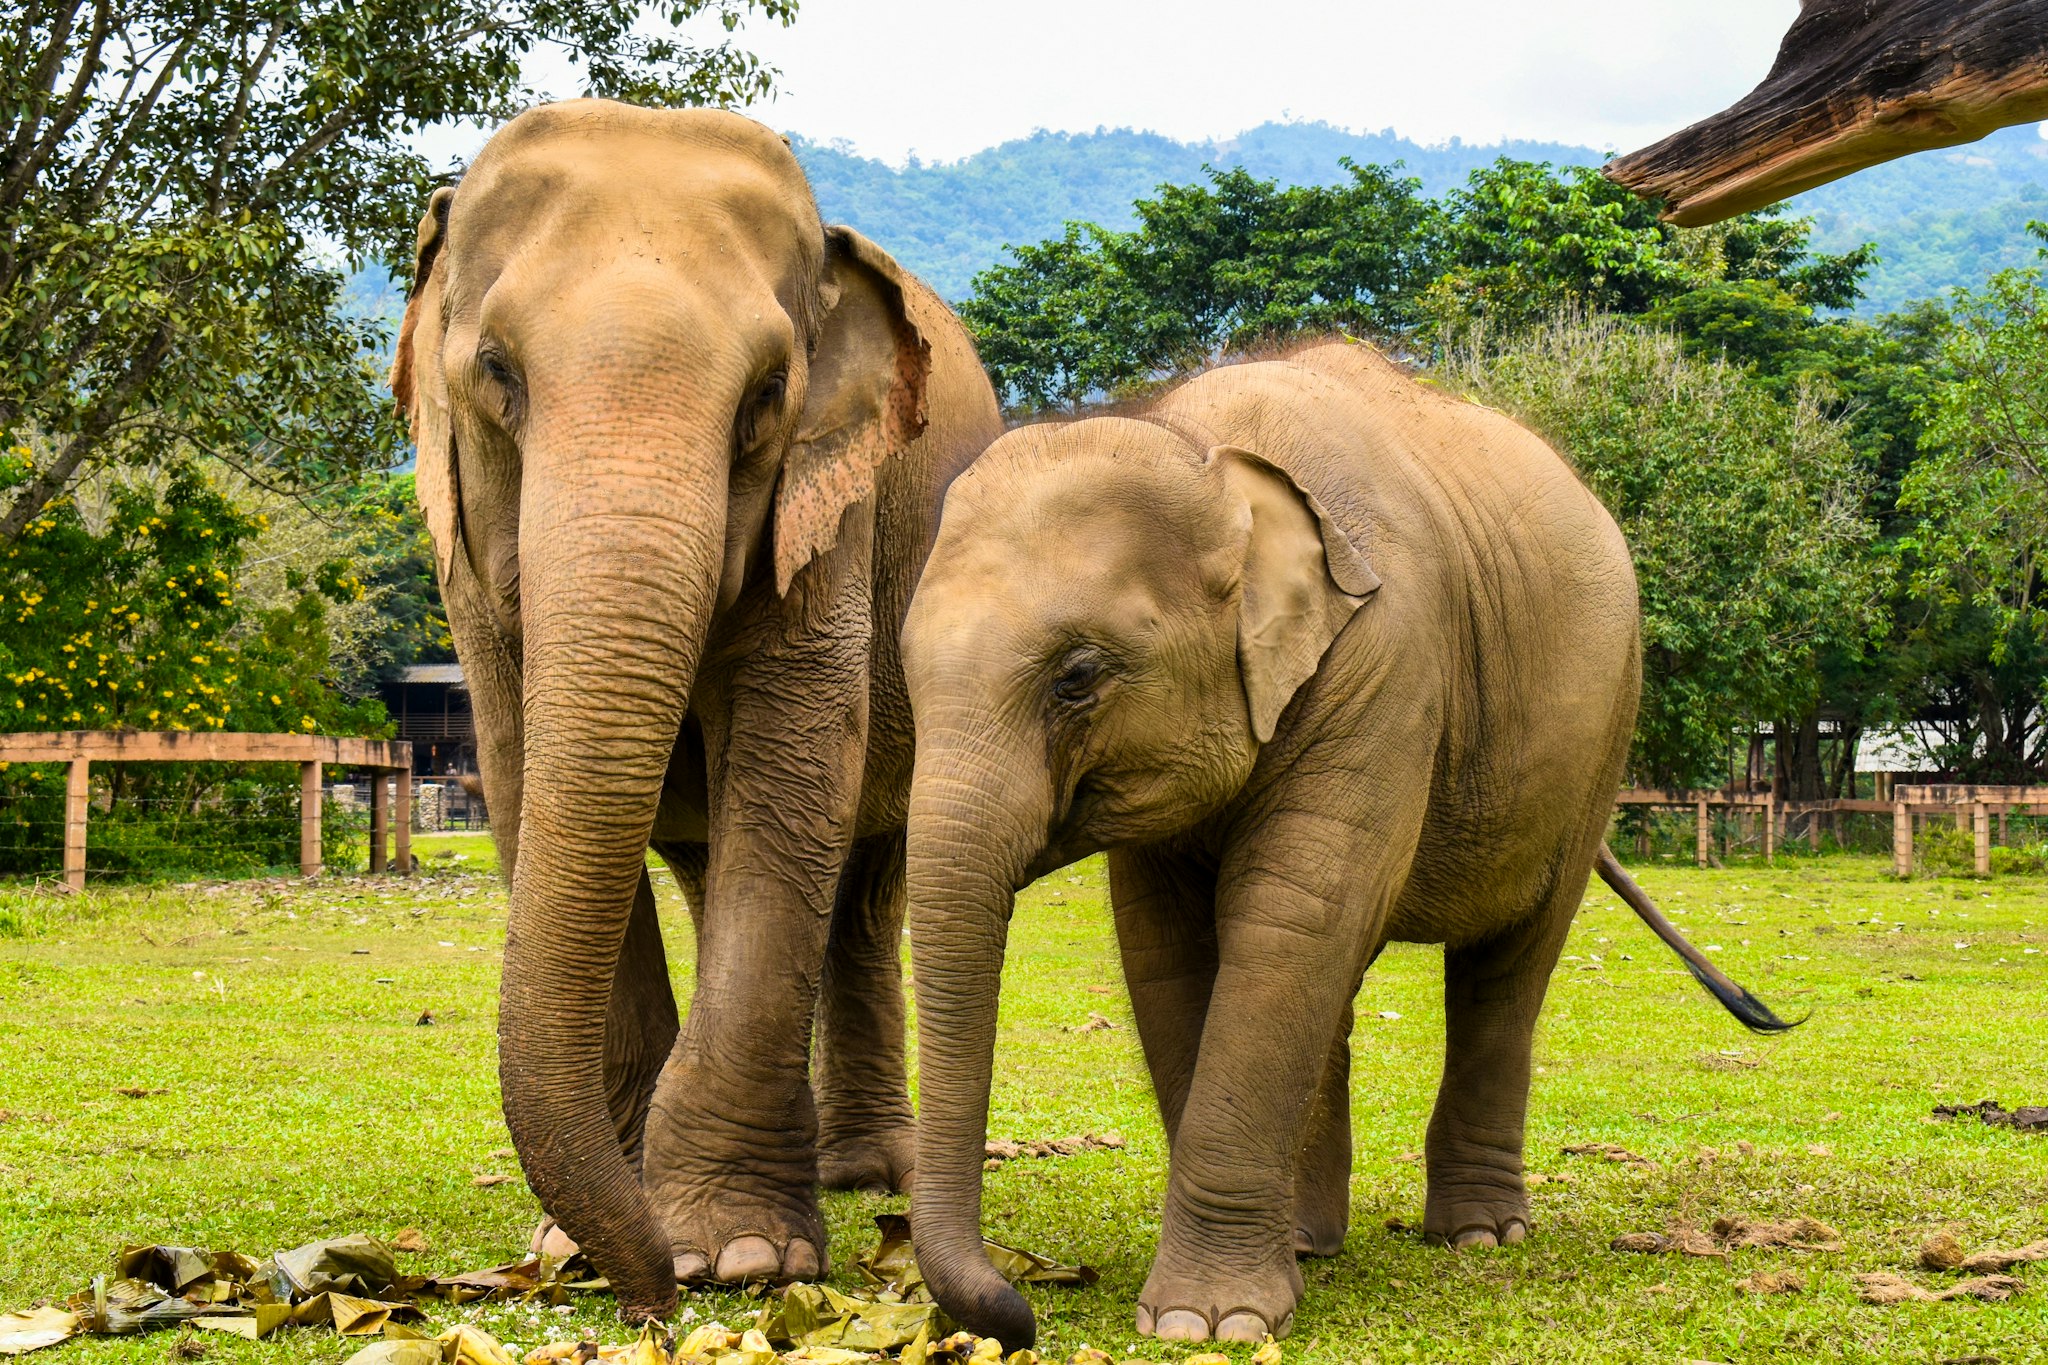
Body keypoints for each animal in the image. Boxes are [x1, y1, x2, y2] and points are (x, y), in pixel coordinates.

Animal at [389, 99, 1003, 1321]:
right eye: (495, 371)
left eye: (767, 396)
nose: (648, 1303)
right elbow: (520, 778)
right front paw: (591, 1244)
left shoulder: (833, 508)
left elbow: (794, 763)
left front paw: (737, 1257)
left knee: (865, 884)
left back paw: (865, 1172)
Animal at [896, 341, 1790, 1347]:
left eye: (1078, 675)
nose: (1019, 1309)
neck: (1209, 456)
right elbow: (1173, 951)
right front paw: (1252, 1292)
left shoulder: (1389, 661)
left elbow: (1291, 922)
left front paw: (1207, 1323)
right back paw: (1312, 1239)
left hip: (1600, 734)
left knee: (1505, 966)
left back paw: (1479, 1235)